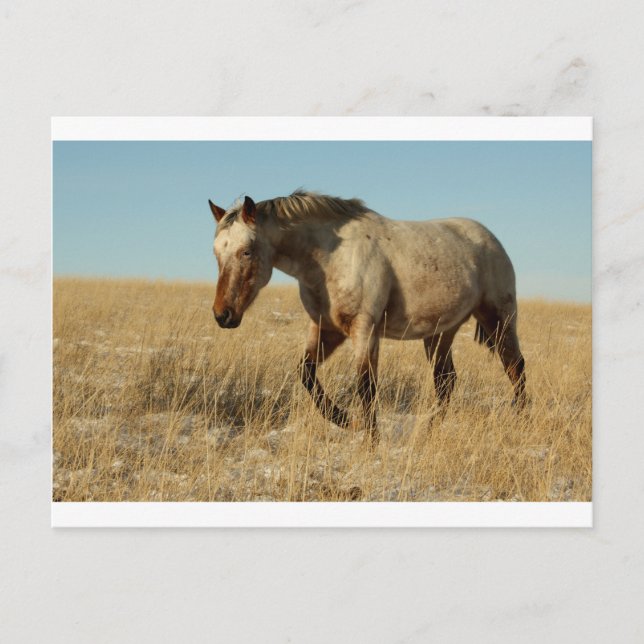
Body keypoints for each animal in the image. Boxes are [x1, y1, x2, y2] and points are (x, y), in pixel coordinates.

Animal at [208, 190, 526, 442]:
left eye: (246, 251)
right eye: (216, 254)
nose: (223, 315)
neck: (330, 259)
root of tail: (491, 239)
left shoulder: (364, 330)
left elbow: (366, 387)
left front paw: (369, 440)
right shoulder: (326, 329)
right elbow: (306, 374)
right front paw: (346, 421)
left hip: (498, 319)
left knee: (515, 367)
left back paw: (519, 419)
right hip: (440, 333)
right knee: (446, 381)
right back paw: (428, 430)